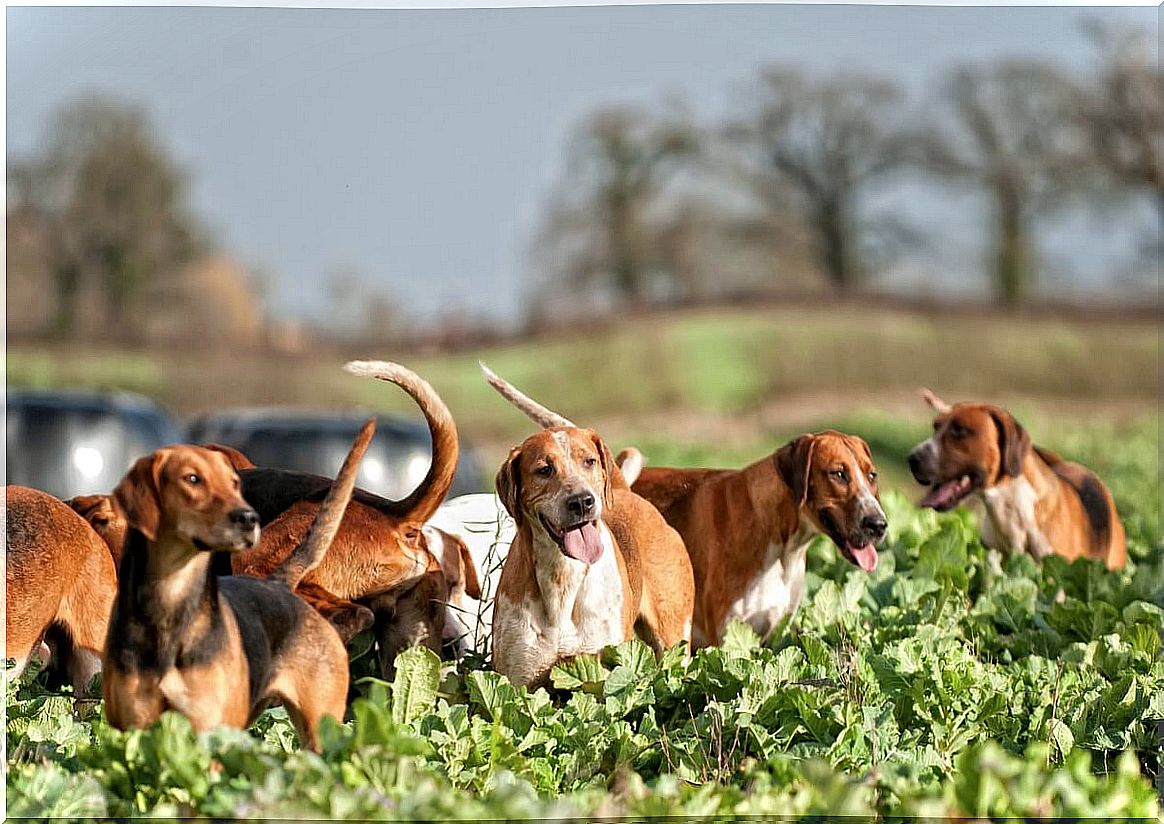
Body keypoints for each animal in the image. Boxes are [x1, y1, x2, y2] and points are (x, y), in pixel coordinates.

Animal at [102, 421, 372, 749]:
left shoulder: (209, 731)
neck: (171, 605)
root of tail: (279, 585)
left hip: (320, 728)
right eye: (192, 479)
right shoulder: (131, 732)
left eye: (234, 483)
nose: (249, 518)